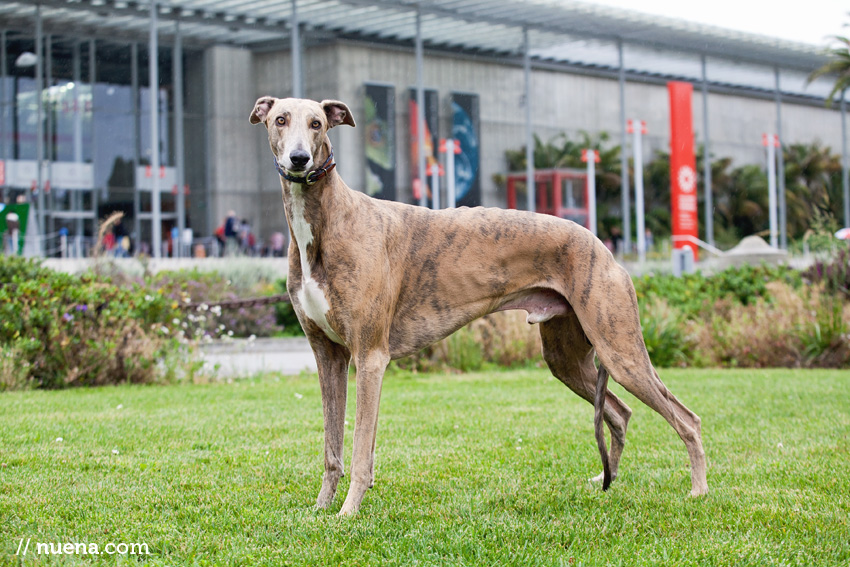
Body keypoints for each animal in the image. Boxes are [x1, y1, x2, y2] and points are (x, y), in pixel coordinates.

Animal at [248, 98, 704, 520]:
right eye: (280, 120)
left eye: (317, 123)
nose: (299, 159)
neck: (328, 221)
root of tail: (603, 247)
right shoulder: (328, 356)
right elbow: (332, 447)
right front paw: (322, 508)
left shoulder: (370, 355)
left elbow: (360, 448)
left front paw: (348, 513)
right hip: (567, 358)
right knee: (621, 412)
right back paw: (606, 480)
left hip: (620, 349)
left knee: (687, 419)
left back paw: (698, 491)